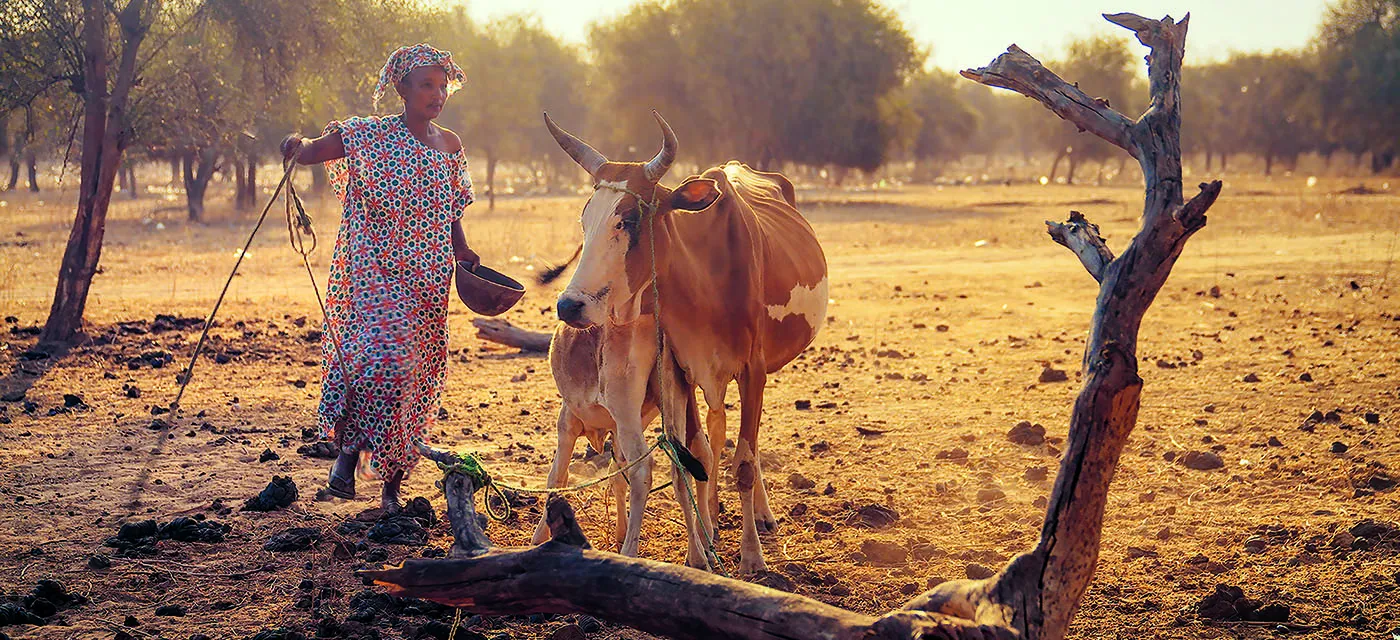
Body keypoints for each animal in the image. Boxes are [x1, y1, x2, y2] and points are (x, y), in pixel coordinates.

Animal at [543, 111, 828, 574]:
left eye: (628, 220)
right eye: (586, 220)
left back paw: (760, 515)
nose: (570, 305)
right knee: (714, 432)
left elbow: (744, 463)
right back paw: (712, 516)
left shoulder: (754, 370)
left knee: (744, 447)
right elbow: (695, 456)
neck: (705, 280)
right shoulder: (679, 369)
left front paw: (752, 557)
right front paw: (703, 547)